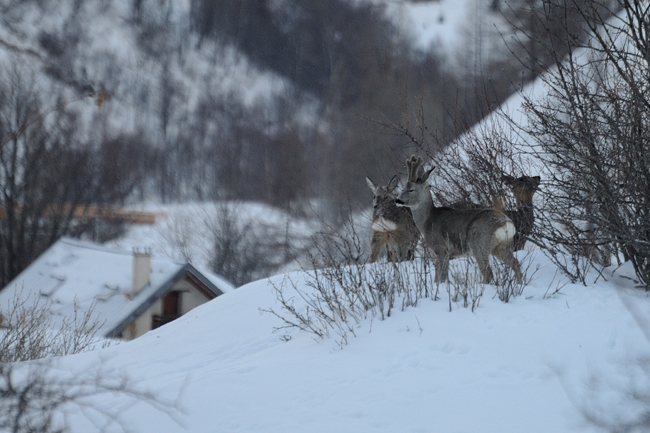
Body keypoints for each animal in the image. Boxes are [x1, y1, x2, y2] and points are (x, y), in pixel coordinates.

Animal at [390, 155, 520, 284]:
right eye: (403, 188)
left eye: (411, 189)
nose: (398, 200)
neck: (427, 222)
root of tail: (506, 223)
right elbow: (437, 278)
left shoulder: (441, 249)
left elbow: (442, 278)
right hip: (502, 246)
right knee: (516, 264)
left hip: (479, 244)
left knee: (488, 274)